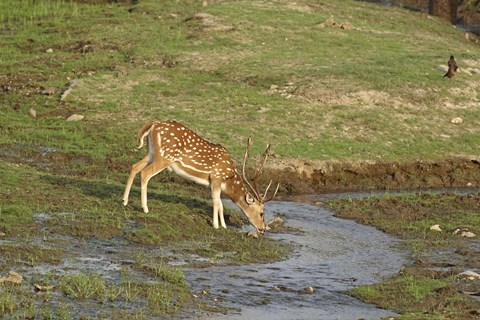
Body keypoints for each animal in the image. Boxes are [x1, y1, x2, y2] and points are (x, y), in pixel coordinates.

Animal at [122, 119, 280, 232]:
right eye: (261, 213)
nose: (263, 229)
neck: (229, 179)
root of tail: (153, 124)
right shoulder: (216, 177)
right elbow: (217, 202)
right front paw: (216, 225)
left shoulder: (214, 182)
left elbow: (220, 203)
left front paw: (223, 225)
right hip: (165, 156)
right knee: (145, 173)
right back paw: (145, 208)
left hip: (151, 152)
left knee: (134, 167)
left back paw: (124, 201)